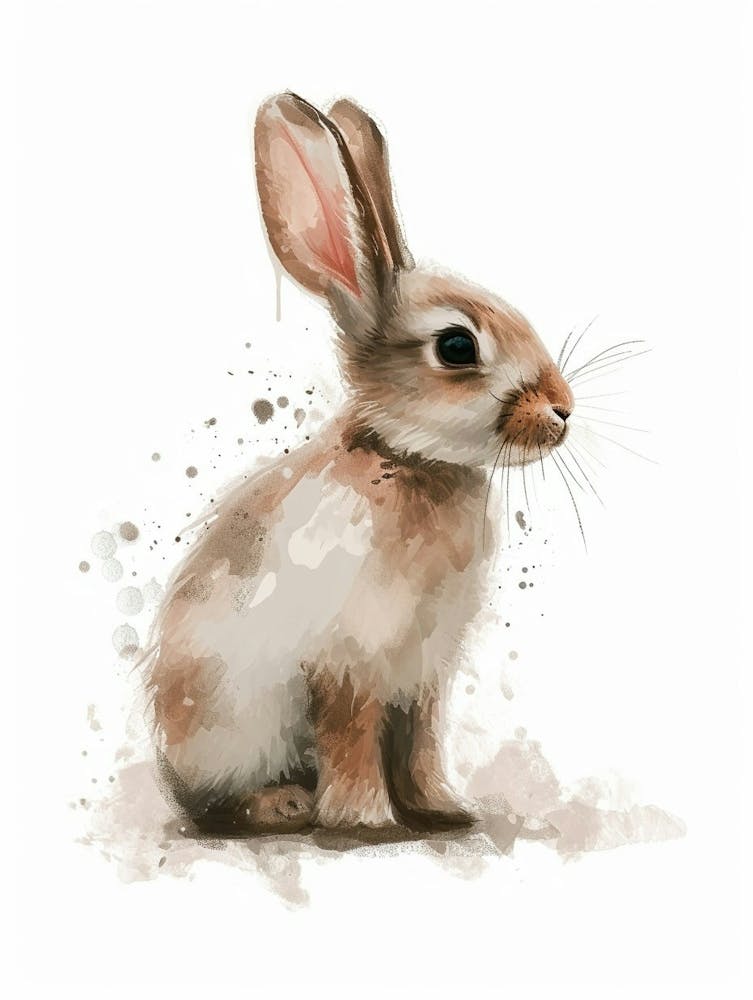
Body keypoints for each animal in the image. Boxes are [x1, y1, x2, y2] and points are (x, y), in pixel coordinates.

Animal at [145, 92, 574, 834]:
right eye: (456, 346)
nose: (563, 410)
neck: (405, 459)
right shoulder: (347, 664)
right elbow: (350, 737)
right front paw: (364, 820)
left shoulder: (423, 675)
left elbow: (420, 743)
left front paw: (442, 809)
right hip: (229, 727)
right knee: (218, 801)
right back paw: (284, 803)